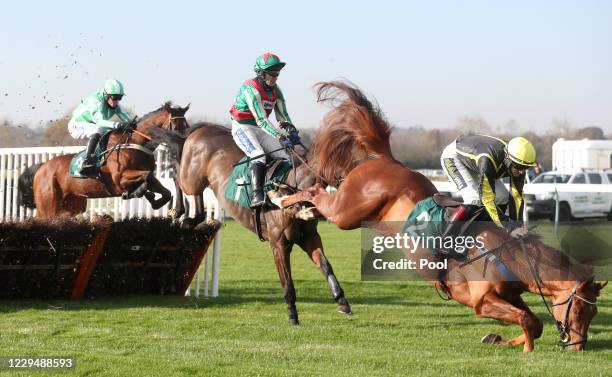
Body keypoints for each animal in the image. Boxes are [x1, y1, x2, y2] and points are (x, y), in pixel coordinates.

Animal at [18, 101, 189, 219]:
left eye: (186, 125)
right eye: (175, 126)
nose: (183, 146)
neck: (134, 143)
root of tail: (42, 168)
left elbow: (161, 188)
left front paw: (163, 205)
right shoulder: (119, 179)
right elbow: (146, 177)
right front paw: (141, 192)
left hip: (71, 206)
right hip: (48, 207)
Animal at [278, 81, 608, 352]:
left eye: (594, 311)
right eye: (580, 309)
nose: (577, 347)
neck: (509, 256)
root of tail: (386, 159)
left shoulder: (511, 295)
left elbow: (534, 322)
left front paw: (497, 338)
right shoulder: (481, 301)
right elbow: (528, 323)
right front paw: (524, 349)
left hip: (359, 215)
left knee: (318, 197)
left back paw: (300, 208)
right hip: (347, 212)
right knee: (317, 192)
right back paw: (280, 197)